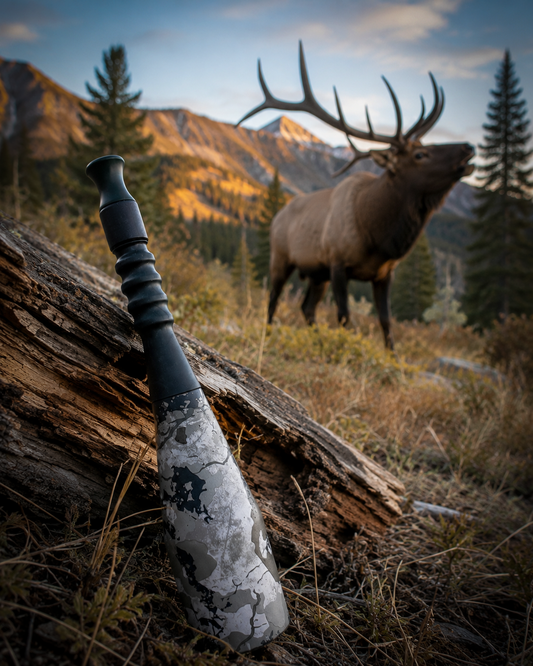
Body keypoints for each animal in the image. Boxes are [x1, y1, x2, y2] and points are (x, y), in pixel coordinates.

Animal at [235, 42, 475, 350]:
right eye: (420, 155)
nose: (468, 148)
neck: (377, 233)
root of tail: (277, 215)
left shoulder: (385, 273)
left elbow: (386, 322)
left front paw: (390, 356)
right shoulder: (338, 264)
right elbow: (345, 316)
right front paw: (344, 349)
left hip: (317, 275)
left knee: (306, 307)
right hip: (281, 258)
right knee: (274, 300)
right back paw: (270, 333)